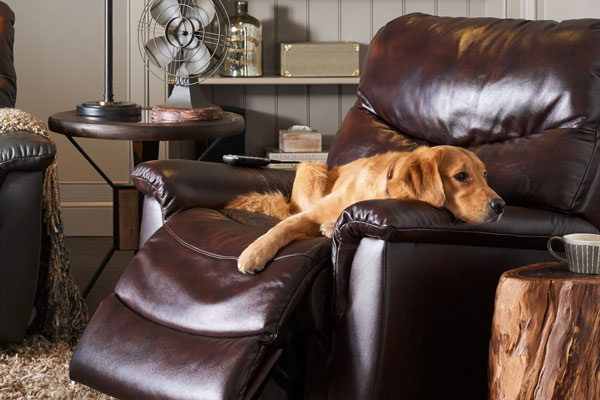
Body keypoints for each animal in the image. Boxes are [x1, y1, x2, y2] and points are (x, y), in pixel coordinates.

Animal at [227, 145, 504, 274]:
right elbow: (280, 228)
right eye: (461, 176)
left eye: (485, 175)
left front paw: (330, 226)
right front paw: (253, 253)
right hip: (311, 167)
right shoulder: (309, 214)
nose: (500, 205)